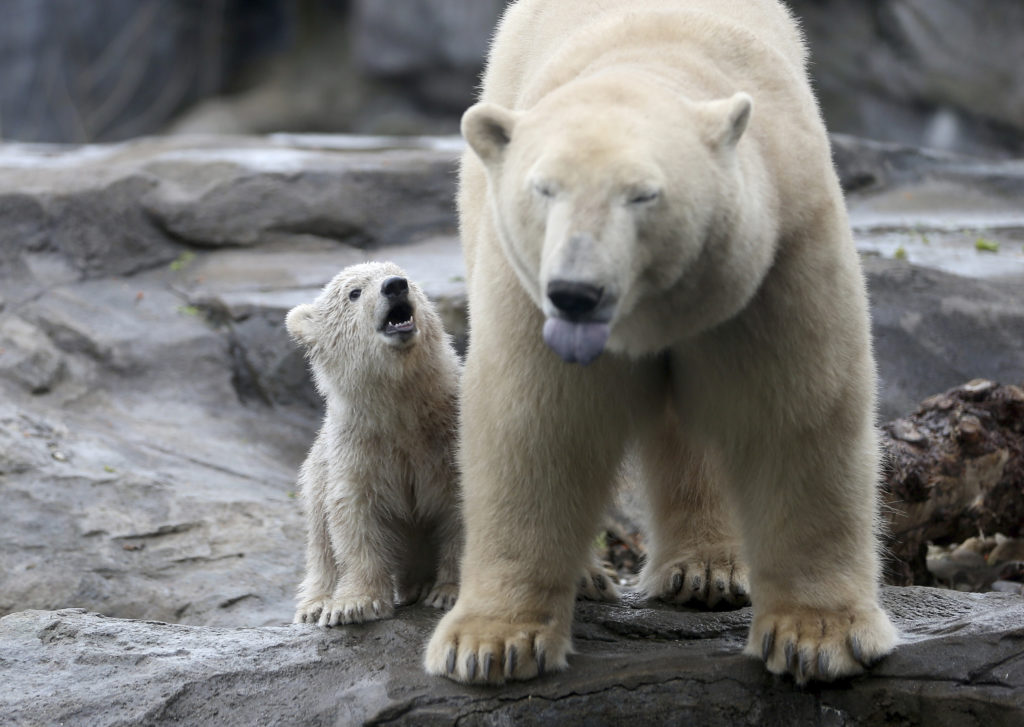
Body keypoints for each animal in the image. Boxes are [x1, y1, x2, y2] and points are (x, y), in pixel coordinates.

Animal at [425, 0, 897, 688]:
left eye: (643, 194)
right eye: (544, 189)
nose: (577, 292)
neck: (653, 59)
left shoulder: (778, 253)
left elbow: (795, 418)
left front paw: (818, 639)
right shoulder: (525, 290)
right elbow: (538, 429)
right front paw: (490, 645)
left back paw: (708, 570)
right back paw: (596, 576)